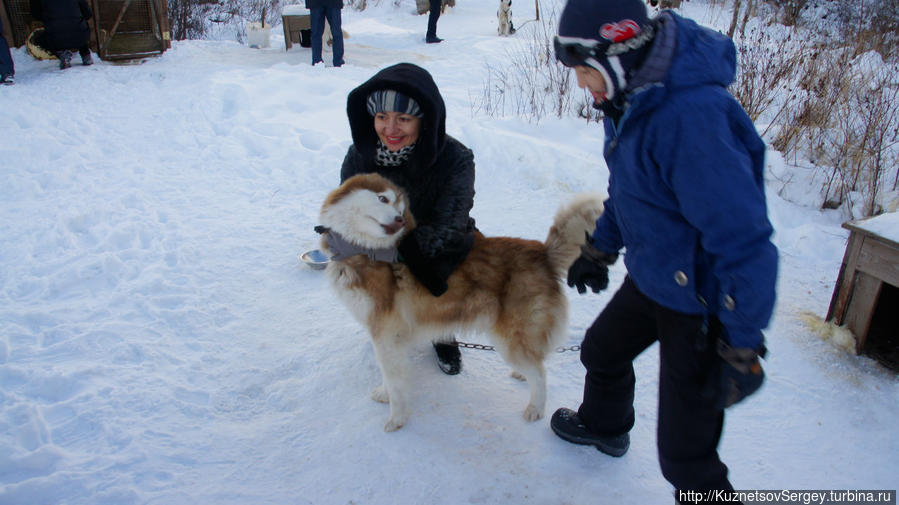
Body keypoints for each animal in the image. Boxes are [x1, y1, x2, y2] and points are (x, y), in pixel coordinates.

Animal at [318, 172, 604, 430]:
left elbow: (395, 381)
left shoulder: (386, 333)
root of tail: (543, 253)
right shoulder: (388, 337)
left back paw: (535, 408)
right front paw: (383, 393)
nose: (399, 219)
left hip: (509, 340)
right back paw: (523, 375)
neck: (362, 249)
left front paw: (397, 418)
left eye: (399, 207)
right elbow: (390, 375)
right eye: (382, 199)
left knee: (542, 373)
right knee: (536, 363)